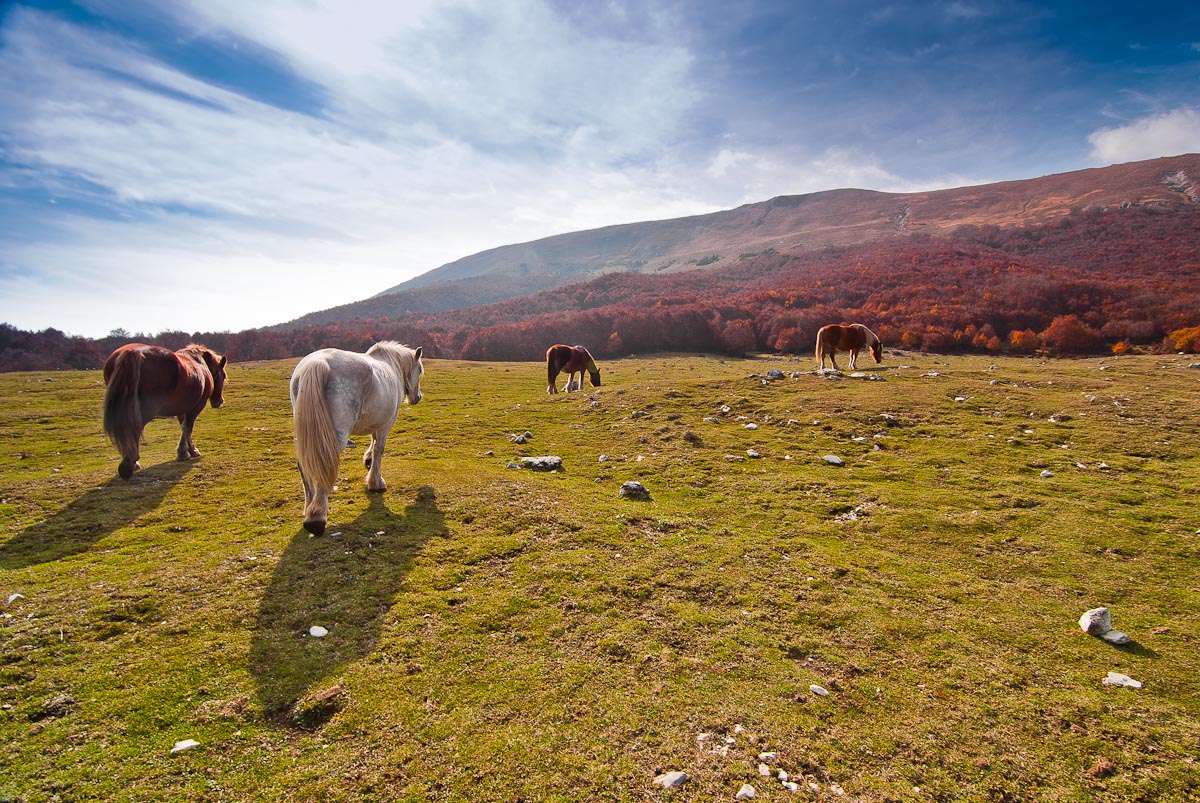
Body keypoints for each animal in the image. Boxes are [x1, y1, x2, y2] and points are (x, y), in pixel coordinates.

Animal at [102, 343, 228, 480]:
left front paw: (184, 452)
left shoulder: (181, 408)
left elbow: (183, 427)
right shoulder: (196, 407)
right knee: (134, 428)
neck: (199, 362)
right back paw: (130, 462)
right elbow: (188, 427)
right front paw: (190, 451)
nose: (220, 401)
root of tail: (133, 352)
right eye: (222, 376)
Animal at [289, 341, 424, 536]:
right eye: (419, 370)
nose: (417, 397)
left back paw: (309, 507)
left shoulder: (375, 421)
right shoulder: (386, 424)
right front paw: (376, 482)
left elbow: (372, 441)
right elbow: (379, 449)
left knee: (305, 465)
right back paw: (316, 518)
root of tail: (318, 362)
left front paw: (368, 461)